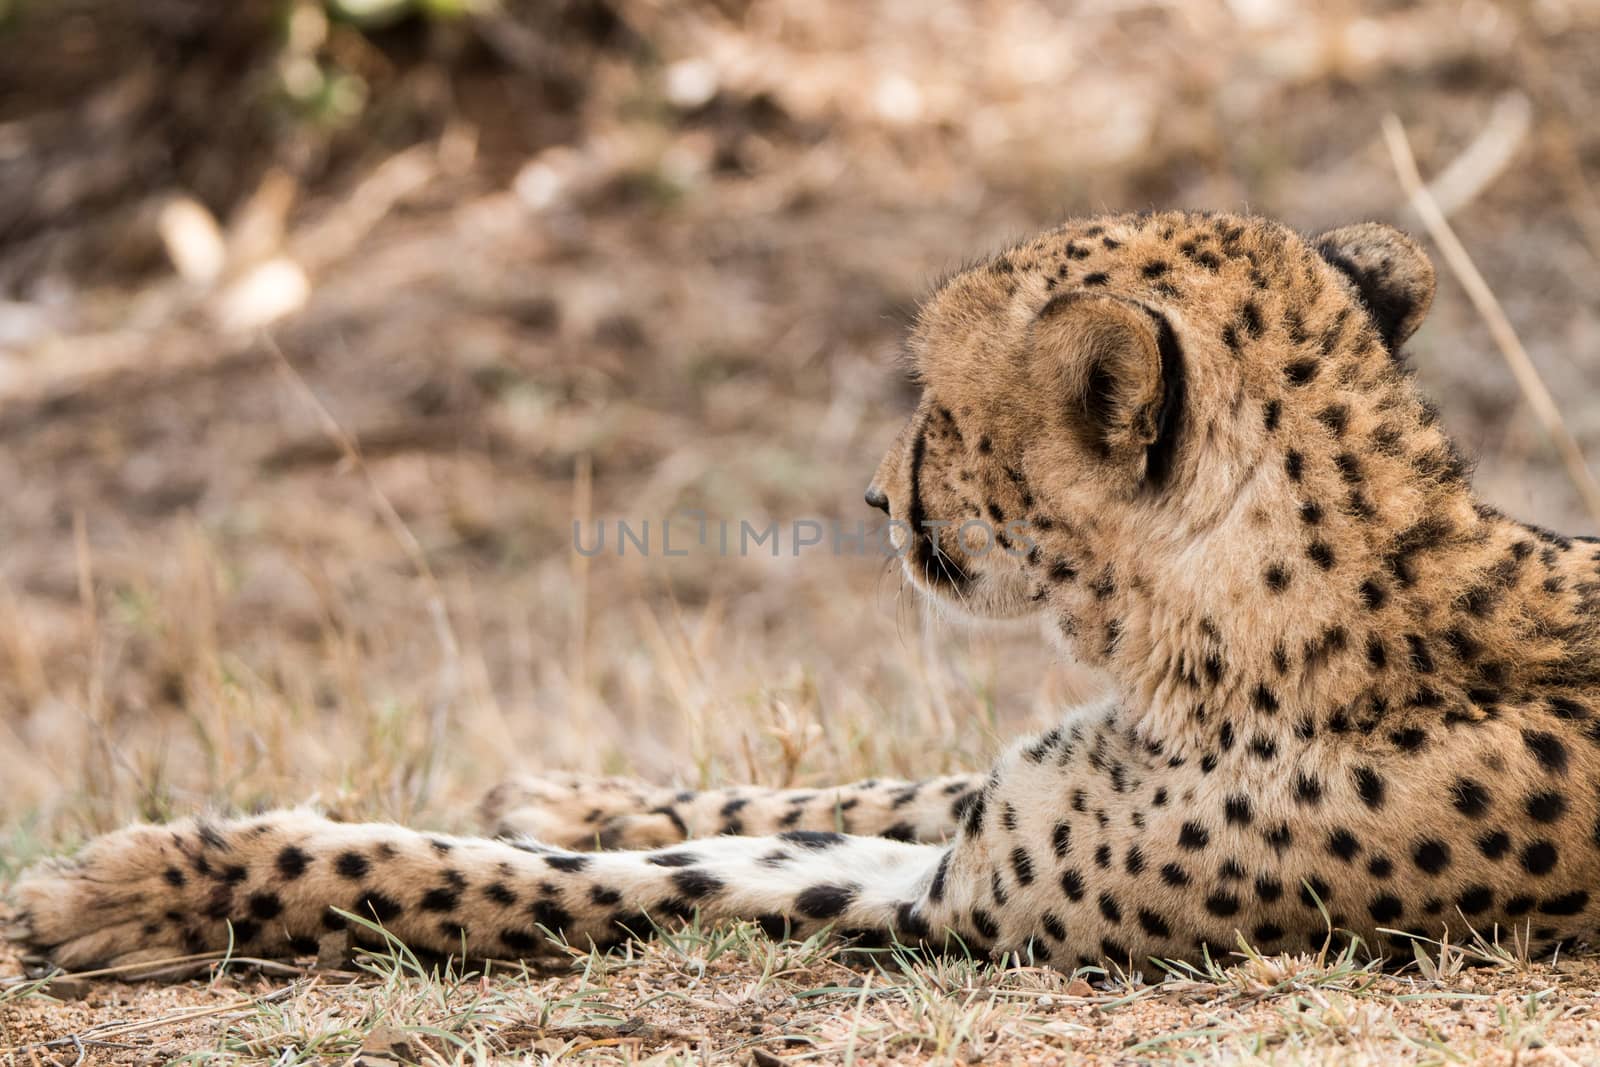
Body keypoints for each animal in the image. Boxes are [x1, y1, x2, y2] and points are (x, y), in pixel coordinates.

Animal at [12, 212, 1600, 979]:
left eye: (939, 408)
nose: (874, 494)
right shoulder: (988, 818)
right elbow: (843, 787)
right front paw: (586, 793)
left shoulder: (970, 907)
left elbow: (607, 886)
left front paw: (156, 883)